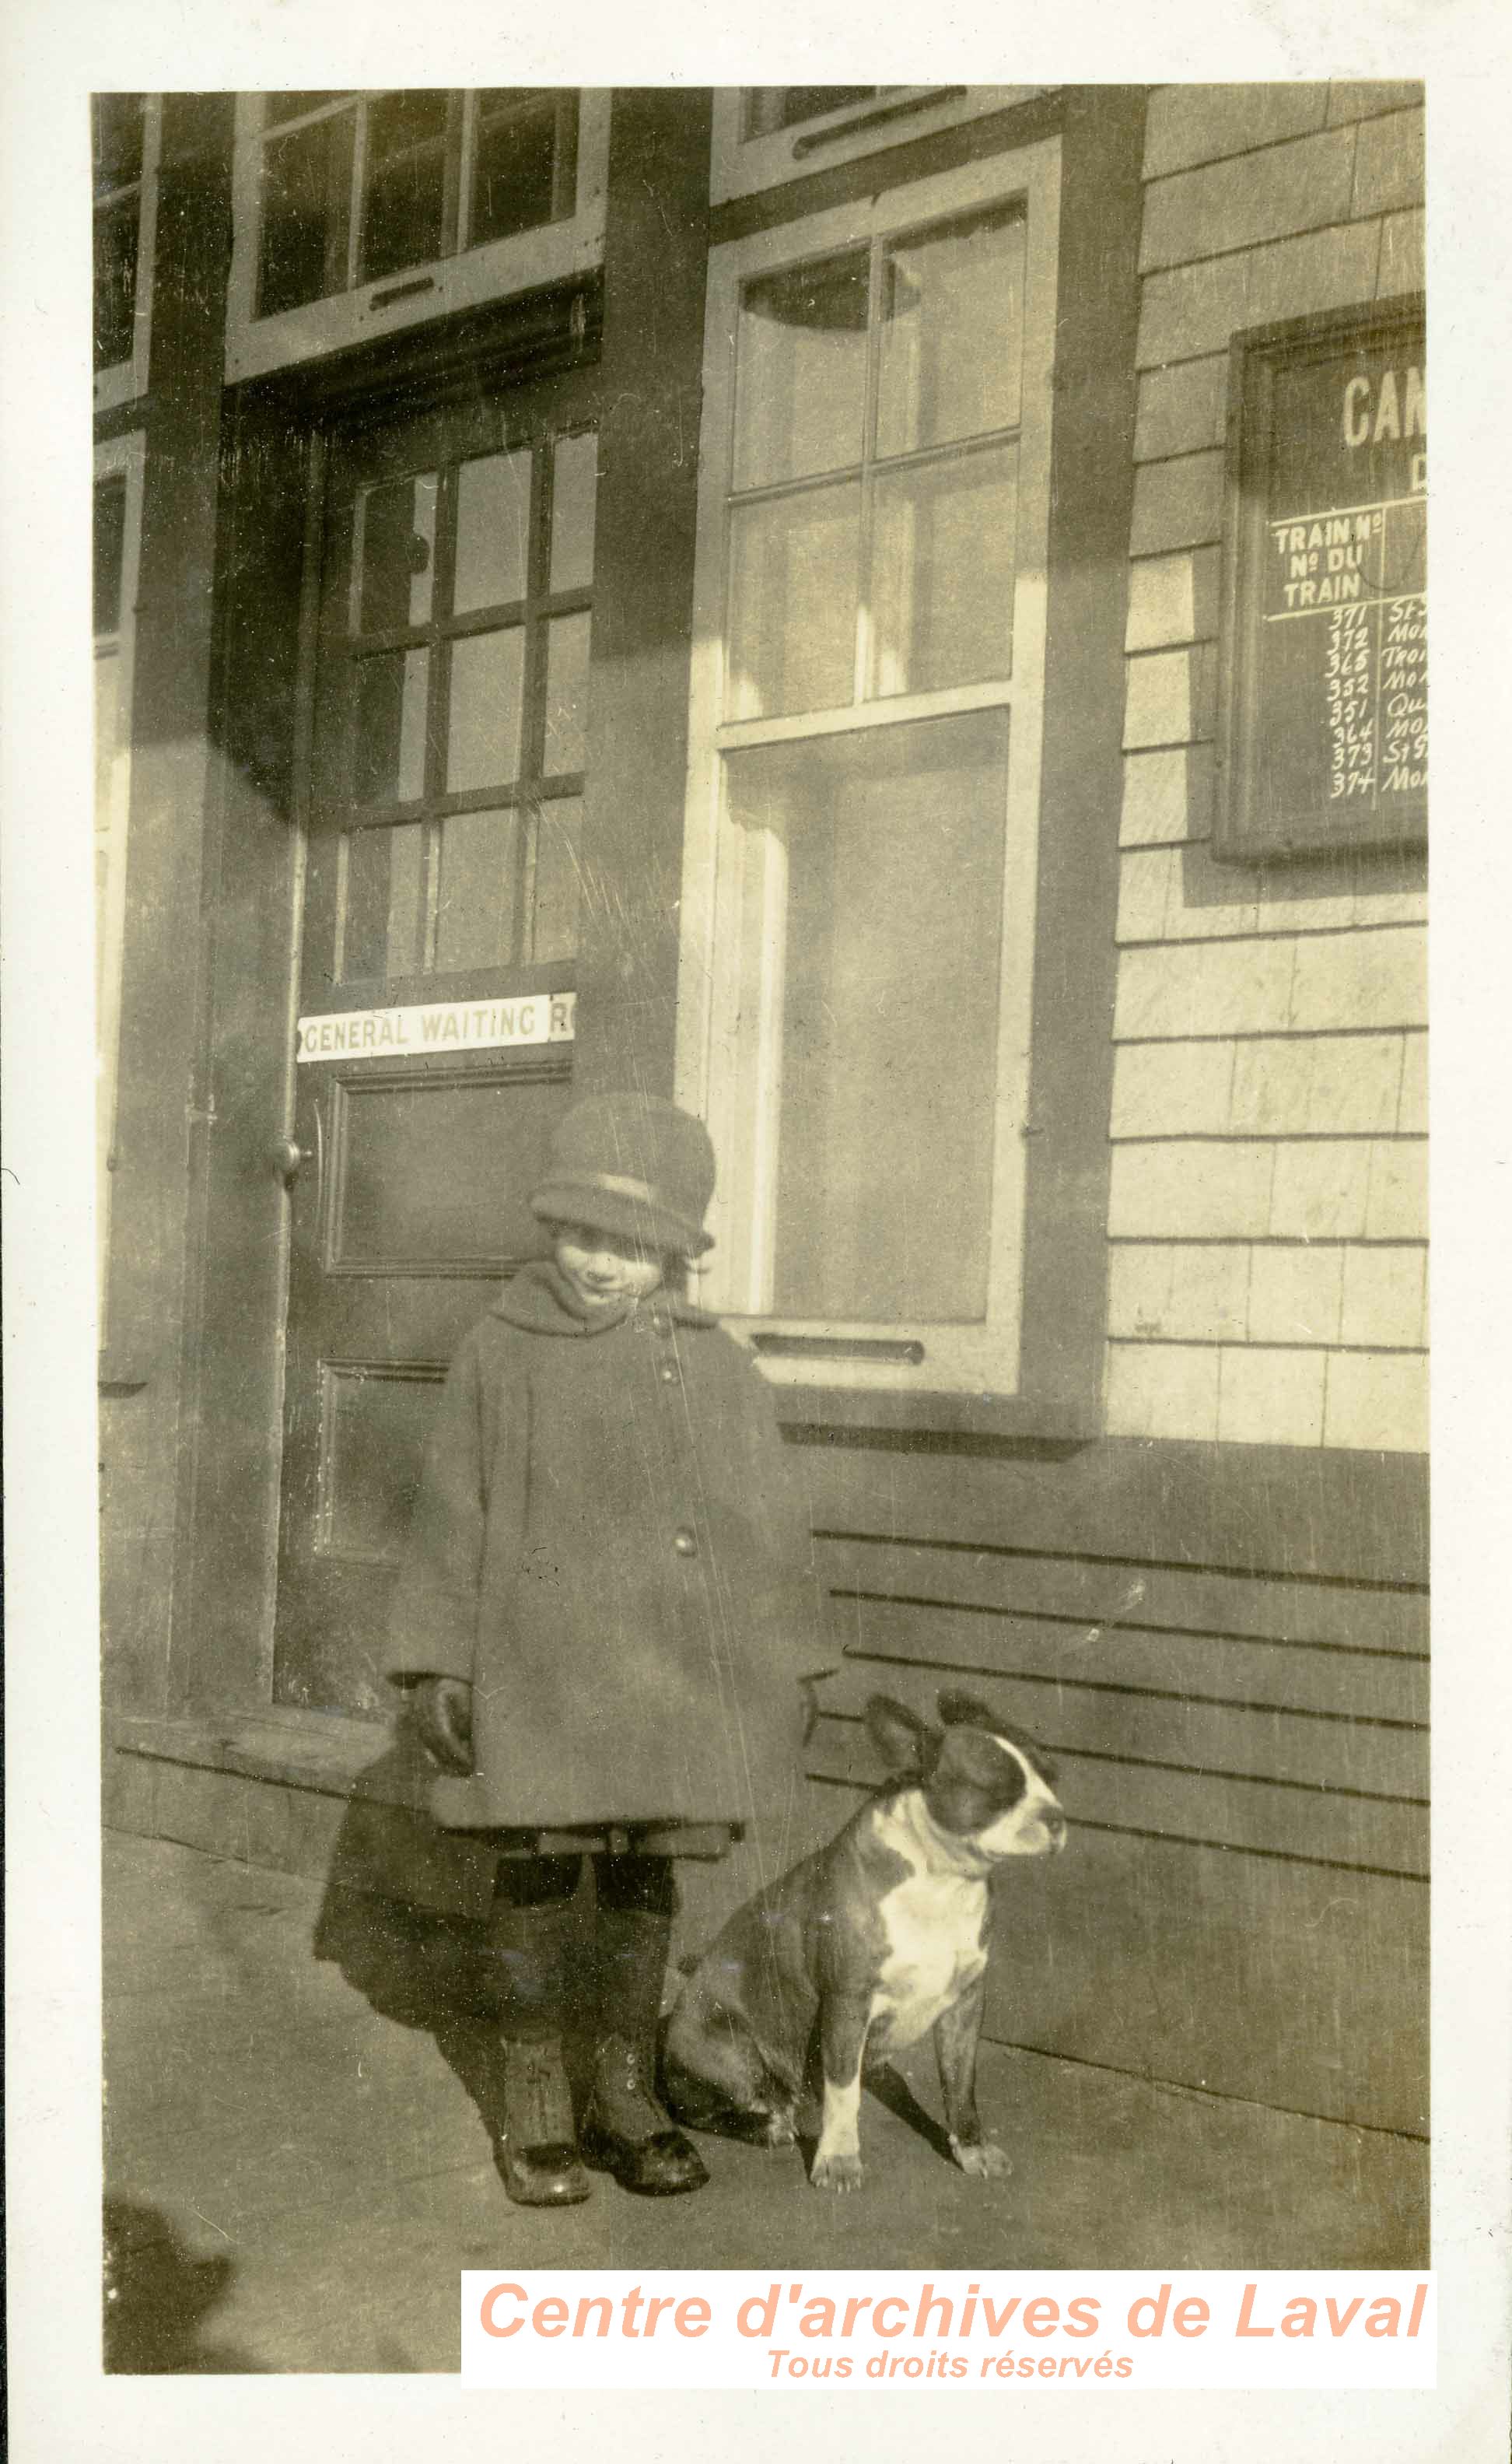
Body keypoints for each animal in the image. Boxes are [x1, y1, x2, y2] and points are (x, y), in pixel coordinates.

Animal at [664, 1695, 1069, 2197]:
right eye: (998, 1791)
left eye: (1051, 1778)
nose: (1057, 1818)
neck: (943, 1880)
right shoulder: (847, 2002)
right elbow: (842, 2091)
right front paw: (839, 2158)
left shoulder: (965, 2004)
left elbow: (960, 2083)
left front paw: (971, 2147)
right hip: (727, 2040)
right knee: (705, 2108)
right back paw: (770, 2125)